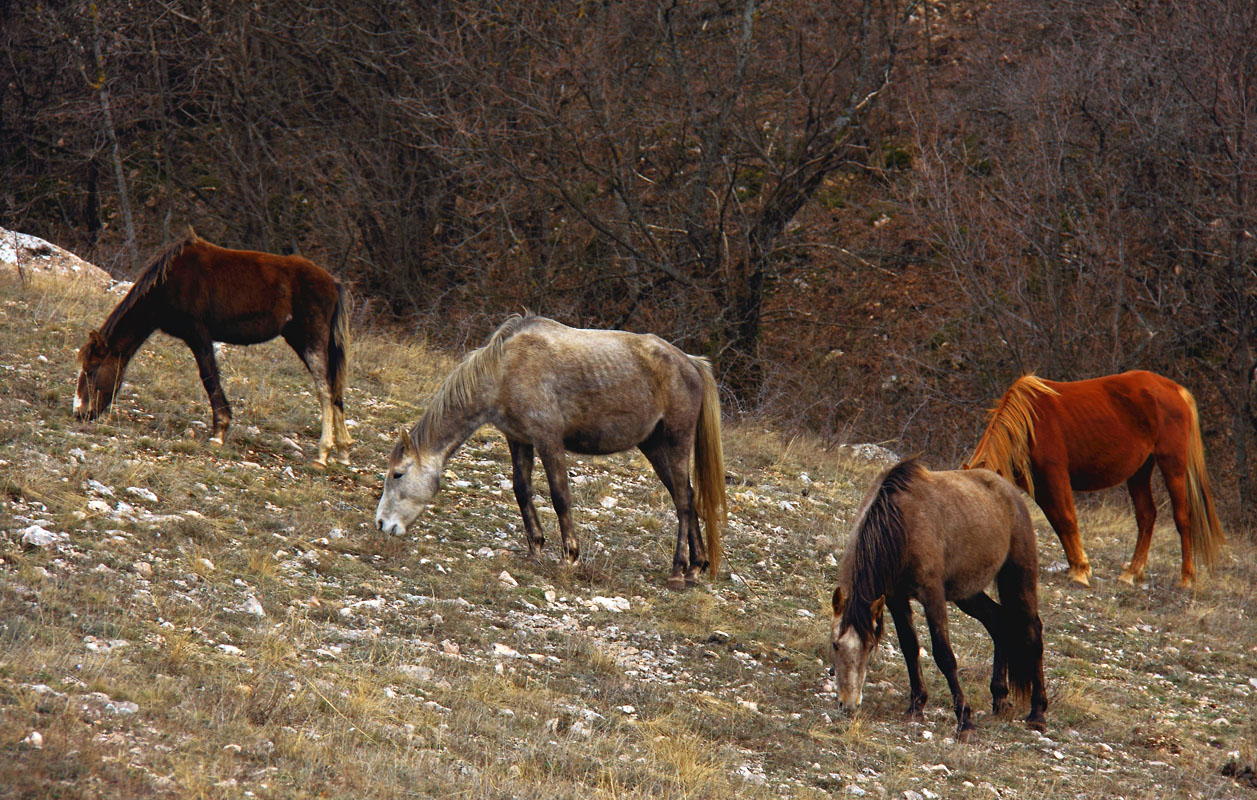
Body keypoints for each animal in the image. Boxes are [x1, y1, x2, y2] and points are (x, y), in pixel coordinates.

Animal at [72, 231, 351, 465]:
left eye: (92, 370)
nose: (79, 413)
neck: (169, 283)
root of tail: (333, 283)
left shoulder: (199, 335)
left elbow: (209, 377)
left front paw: (218, 432)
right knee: (334, 388)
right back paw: (343, 451)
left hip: (310, 341)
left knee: (325, 390)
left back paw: (323, 454)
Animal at [372, 311, 729, 588]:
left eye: (398, 474)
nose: (382, 524)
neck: (506, 368)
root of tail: (690, 363)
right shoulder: (518, 440)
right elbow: (522, 490)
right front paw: (535, 550)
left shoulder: (548, 441)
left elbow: (560, 496)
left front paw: (569, 556)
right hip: (653, 446)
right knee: (687, 495)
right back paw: (696, 567)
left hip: (677, 440)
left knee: (682, 502)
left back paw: (677, 571)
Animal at [829, 455, 1045, 744]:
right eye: (835, 645)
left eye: (870, 646)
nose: (848, 704)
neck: (901, 524)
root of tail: (1010, 491)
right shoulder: (896, 598)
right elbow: (910, 647)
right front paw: (916, 706)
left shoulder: (932, 596)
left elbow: (944, 655)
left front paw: (965, 722)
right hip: (967, 593)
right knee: (998, 622)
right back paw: (999, 697)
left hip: (1019, 577)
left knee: (1033, 631)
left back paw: (1038, 713)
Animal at [965, 369, 1221, 588]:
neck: (1030, 424)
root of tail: (1175, 389)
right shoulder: (1041, 487)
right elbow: (1058, 522)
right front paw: (1076, 567)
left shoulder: (1056, 475)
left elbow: (1068, 519)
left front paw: (1080, 573)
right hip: (1140, 471)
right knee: (1147, 516)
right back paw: (1130, 574)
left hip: (1172, 464)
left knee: (1182, 518)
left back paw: (1186, 579)